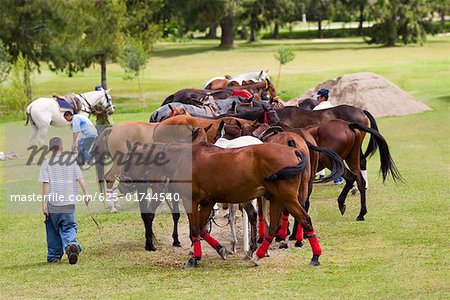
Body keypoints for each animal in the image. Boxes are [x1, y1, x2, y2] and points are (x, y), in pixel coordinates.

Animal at [118, 142, 324, 268]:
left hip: (287, 197)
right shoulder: (207, 202)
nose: (123, 183)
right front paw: (220, 249)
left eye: (129, 159)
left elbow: (195, 229)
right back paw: (257, 255)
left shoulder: (190, 201)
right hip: (276, 198)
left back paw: (315, 256)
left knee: (305, 219)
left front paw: (194, 258)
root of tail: (292, 151)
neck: (183, 159)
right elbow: (202, 229)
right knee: (273, 227)